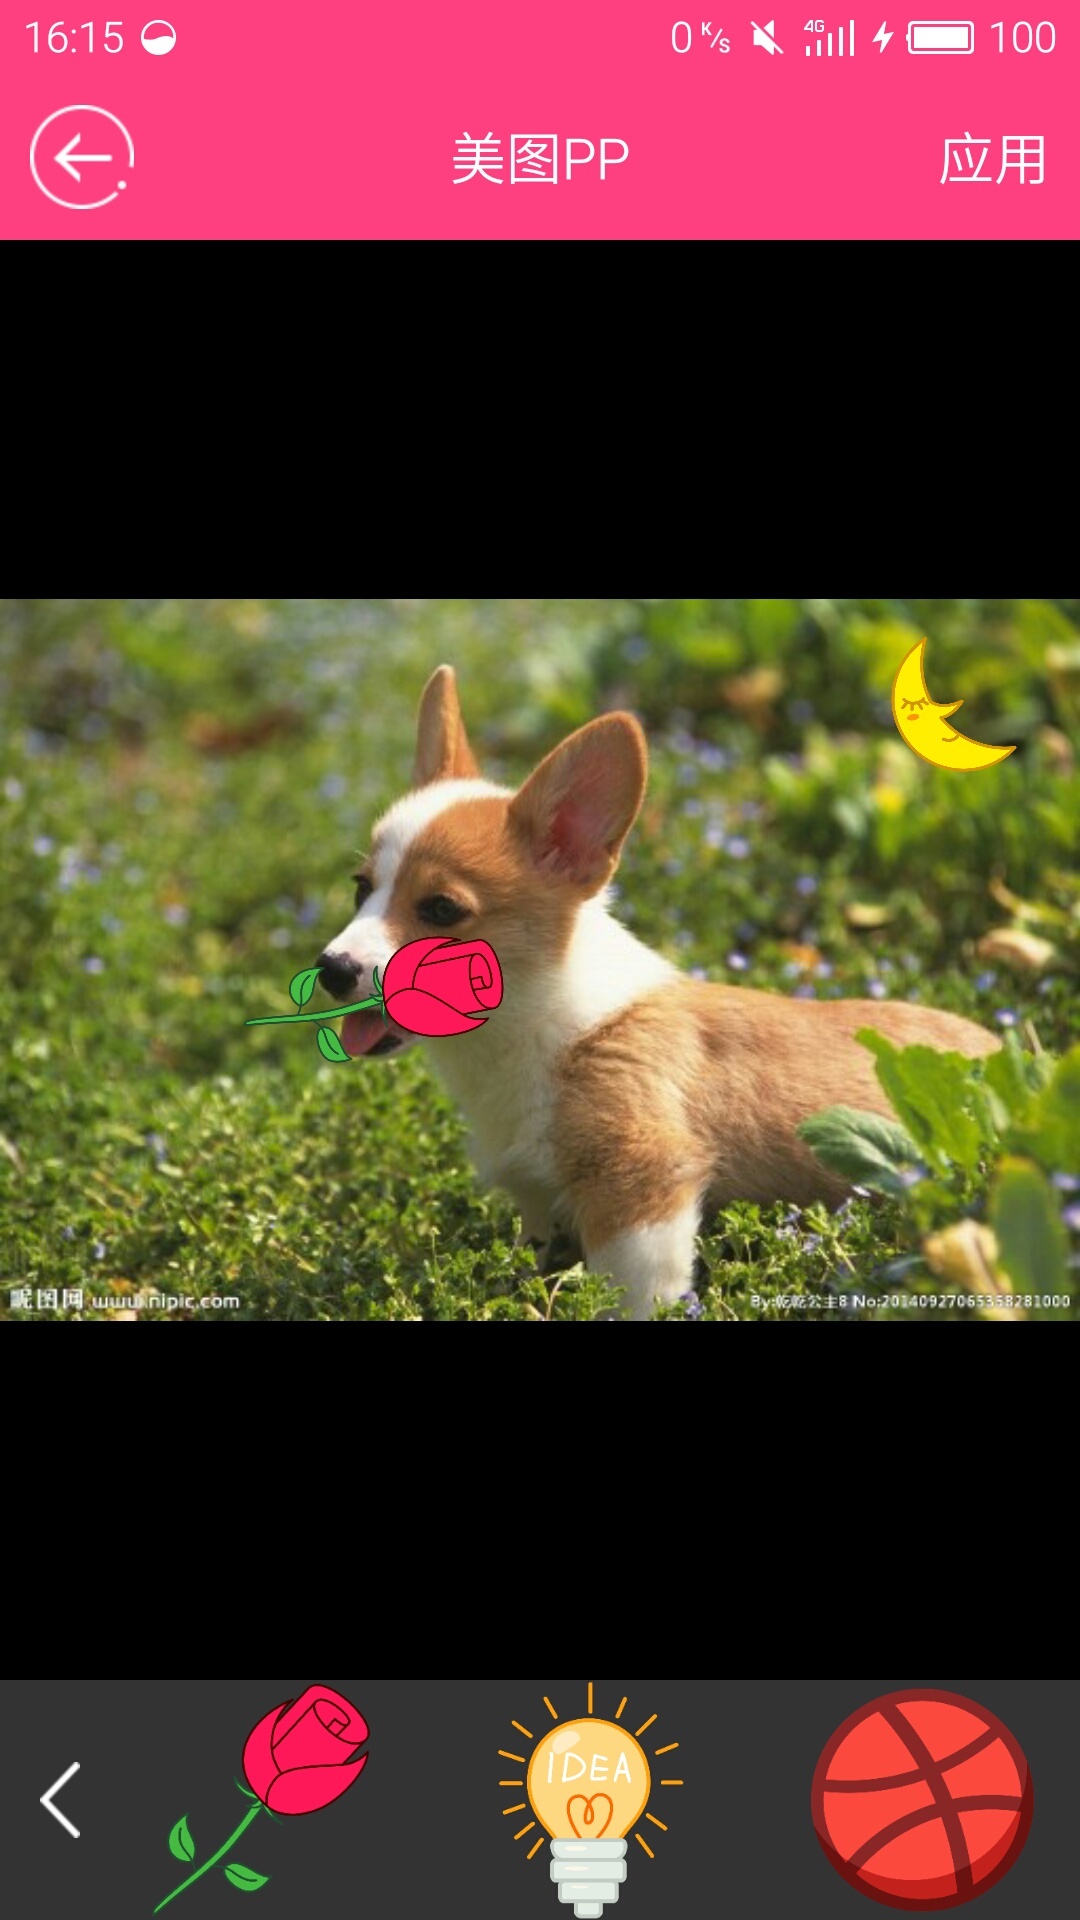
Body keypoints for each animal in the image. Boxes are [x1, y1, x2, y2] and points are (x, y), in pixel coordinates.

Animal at [315, 664, 999, 1320]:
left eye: (440, 908)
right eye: (360, 888)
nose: (330, 968)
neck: (535, 1021)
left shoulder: (642, 1187)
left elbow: (632, 1298)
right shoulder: (537, 1199)